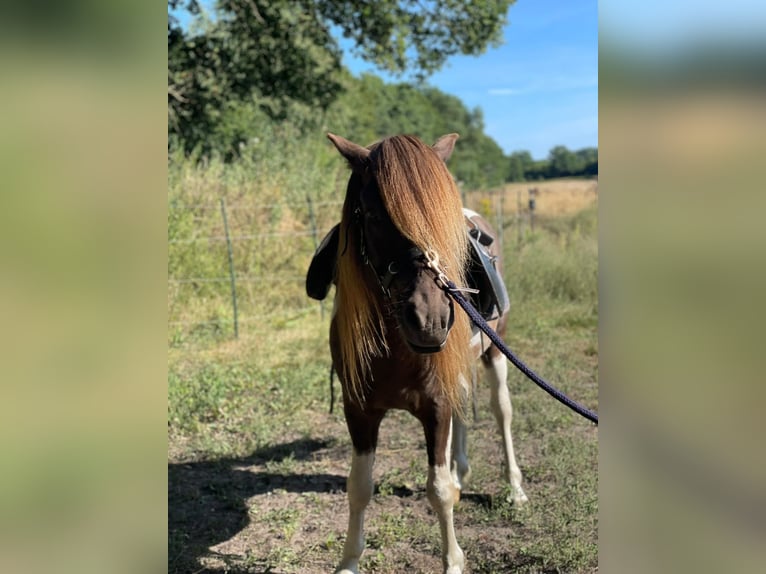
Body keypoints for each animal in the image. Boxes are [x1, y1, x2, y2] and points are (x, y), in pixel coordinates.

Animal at [314, 133, 527, 574]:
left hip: (495, 356)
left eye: (440, 222)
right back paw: (464, 469)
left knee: (502, 412)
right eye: (372, 215)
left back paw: (514, 488)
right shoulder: (358, 410)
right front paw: (349, 561)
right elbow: (359, 487)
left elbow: (439, 490)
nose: (429, 320)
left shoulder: (435, 405)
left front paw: (453, 562)